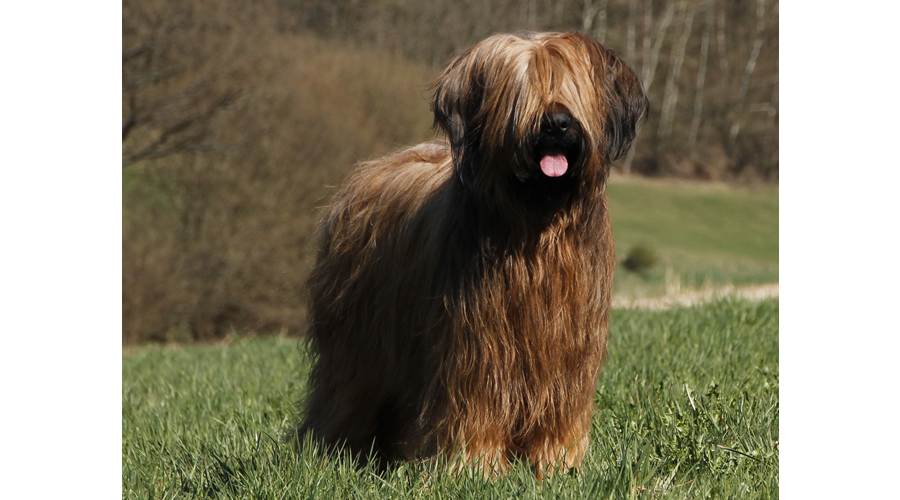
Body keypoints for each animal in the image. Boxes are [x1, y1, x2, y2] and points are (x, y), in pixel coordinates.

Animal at [298, 31, 648, 476]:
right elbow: (478, 403)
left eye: (570, 85)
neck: (537, 227)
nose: (556, 123)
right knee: (346, 394)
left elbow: (560, 408)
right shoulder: (477, 344)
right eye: (523, 90)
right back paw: (331, 451)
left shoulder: (569, 349)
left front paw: (557, 465)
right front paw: (477, 468)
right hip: (359, 340)